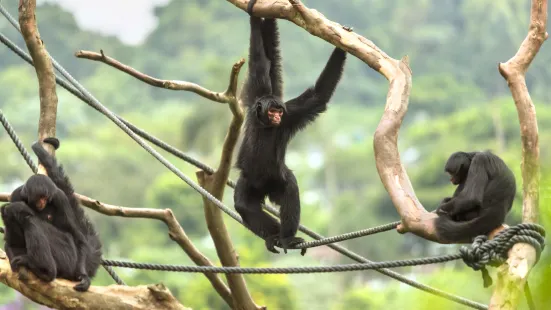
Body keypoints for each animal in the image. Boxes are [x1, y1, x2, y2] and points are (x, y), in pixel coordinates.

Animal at [10, 137, 101, 292]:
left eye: (45, 198)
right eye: (39, 197)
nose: (42, 201)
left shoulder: (59, 197)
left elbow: (77, 236)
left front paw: (84, 277)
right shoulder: (16, 195)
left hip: (68, 255)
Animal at [234, 0, 348, 254]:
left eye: (278, 112)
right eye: (272, 111)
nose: (276, 117)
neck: (265, 125)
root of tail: (266, 188)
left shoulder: (290, 114)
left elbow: (317, 97)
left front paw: (341, 45)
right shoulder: (256, 96)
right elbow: (259, 61)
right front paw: (254, 17)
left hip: (278, 177)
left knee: (289, 190)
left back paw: (286, 237)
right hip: (250, 180)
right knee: (244, 205)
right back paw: (272, 236)